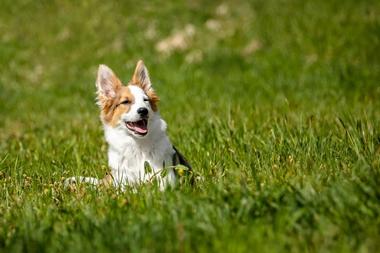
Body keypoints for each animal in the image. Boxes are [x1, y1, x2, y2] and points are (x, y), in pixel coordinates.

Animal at [65, 60, 191, 189]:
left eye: (145, 100)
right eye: (125, 102)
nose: (143, 110)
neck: (137, 145)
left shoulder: (166, 175)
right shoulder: (123, 181)